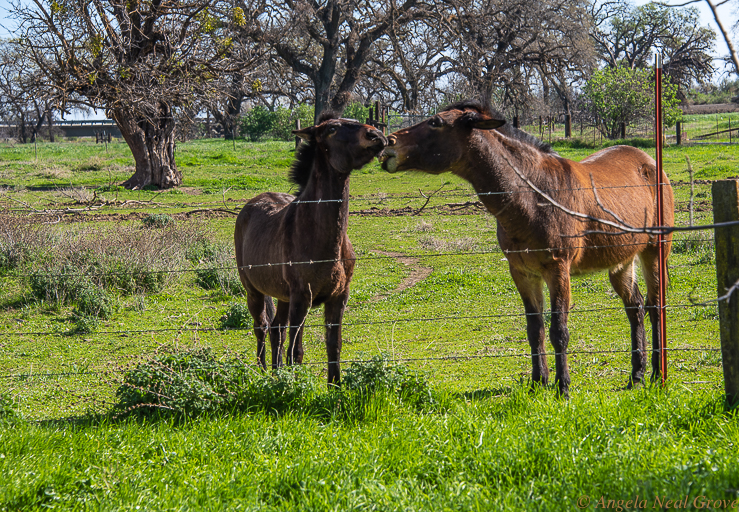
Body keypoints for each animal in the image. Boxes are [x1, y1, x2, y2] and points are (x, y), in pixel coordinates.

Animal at [236, 113, 388, 384]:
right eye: (332, 129)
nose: (376, 135)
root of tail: (249, 206)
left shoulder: (339, 297)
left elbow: (333, 345)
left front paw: (334, 386)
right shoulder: (302, 297)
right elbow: (296, 351)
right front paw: (294, 386)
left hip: (282, 296)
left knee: (276, 329)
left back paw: (275, 373)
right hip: (254, 291)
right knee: (262, 327)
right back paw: (263, 373)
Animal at [384, 101, 672, 396]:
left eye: (436, 123)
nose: (389, 142)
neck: (532, 197)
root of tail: (649, 162)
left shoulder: (558, 271)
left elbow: (559, 331)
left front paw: (563, 387)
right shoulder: (523, 273)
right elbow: (535, 329)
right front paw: (538, 381)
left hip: (654, 252)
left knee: (655, 307)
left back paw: (658, 374)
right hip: (621, 263)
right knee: (635, 309)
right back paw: (636, 375)